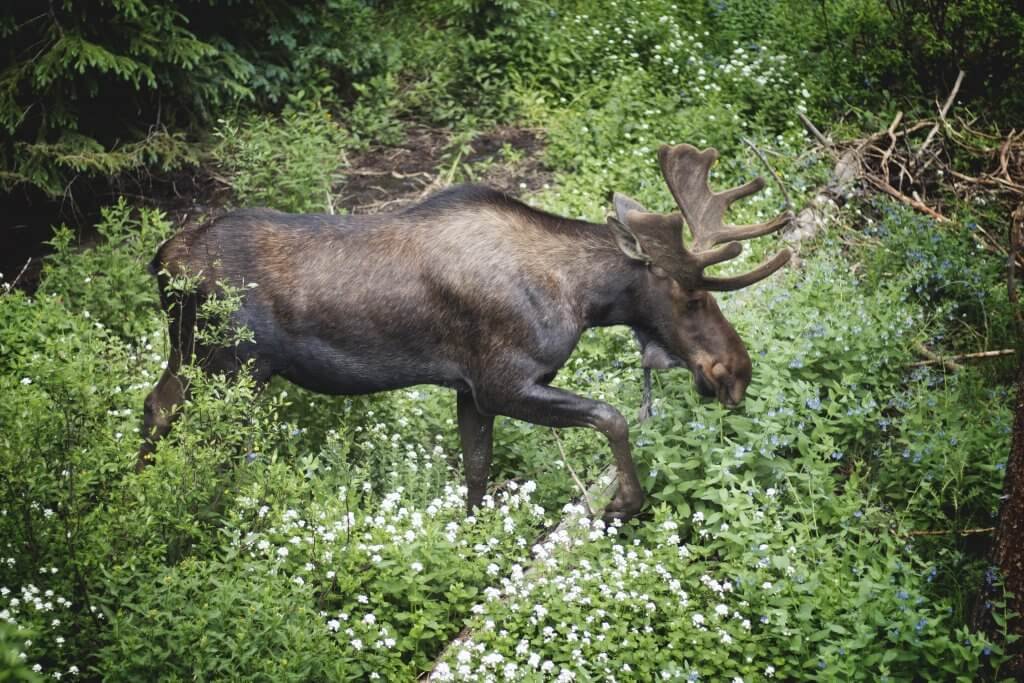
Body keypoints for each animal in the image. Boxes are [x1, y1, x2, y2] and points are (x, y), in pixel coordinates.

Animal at [138, 141, 790, 520]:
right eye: (692, 294)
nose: (737, 372)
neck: (582, 299)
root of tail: (160, 259)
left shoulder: (469, 389)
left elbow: (476, 471)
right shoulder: (503, 380)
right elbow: (613, 416)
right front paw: (622, 503)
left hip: (196, 357)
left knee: (153, 404)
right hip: (227, 364)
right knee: (175, 416)